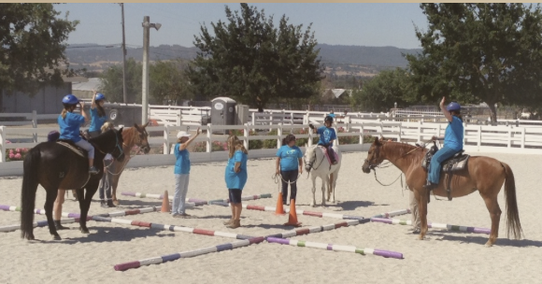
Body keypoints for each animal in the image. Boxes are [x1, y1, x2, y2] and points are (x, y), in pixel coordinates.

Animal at [364, 138, 524, 246]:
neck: (414, 161)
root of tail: (500, 163)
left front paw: (422, 234)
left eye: (370, 151)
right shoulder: (423, 194)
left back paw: (490, 241)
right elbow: (423, 212)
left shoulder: (419, 193)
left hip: (488, 196)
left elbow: (421, 212)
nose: (364, 167)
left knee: (495, 214)